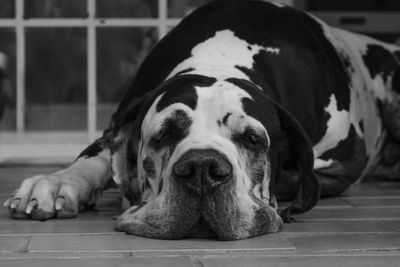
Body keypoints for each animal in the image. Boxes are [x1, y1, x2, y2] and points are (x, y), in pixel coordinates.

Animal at [3, 0, 400, 243]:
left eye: (252, 139)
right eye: (164, 134)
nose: (202, 169)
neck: (221, 54)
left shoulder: (341, 166)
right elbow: (97, 156)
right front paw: (59, 183)